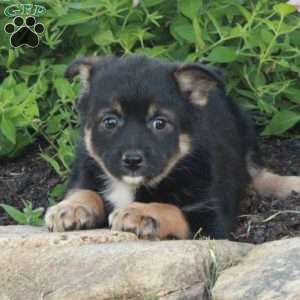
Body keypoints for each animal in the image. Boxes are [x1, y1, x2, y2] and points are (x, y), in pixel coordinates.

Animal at [44, 55, 300, 240]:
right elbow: (84, 191)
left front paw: (139, 212)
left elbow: (169, 208)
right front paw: (70, 208)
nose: (132, 160)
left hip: (245, 131)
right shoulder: (85, 169)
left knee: (258, 175)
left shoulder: (211, 218)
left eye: (160, 123)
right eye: (109, 122)